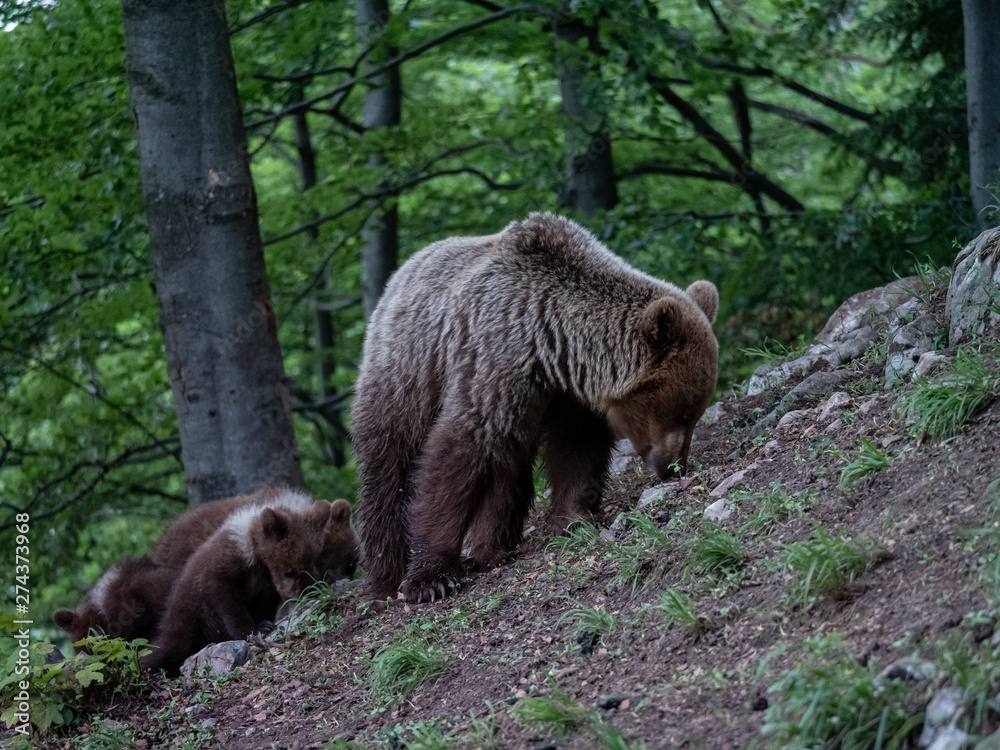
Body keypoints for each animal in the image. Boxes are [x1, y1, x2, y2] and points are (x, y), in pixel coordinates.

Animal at [141, 502, 336, 680]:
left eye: (310, 564)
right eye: (290, 570)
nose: (304, 592)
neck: (257, 558)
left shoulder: (265, 585)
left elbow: (263, 603)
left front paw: (265, 623)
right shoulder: (224, 568)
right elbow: (228, 601)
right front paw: (256, 629)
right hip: (188, 617)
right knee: (168, 648)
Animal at [352, 212, 720, 604]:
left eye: (695, 414)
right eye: (683, 413)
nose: (676, 466)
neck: (552, 341)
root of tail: (400, 274)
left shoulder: (566, 391)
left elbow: (575, 448)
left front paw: (575, 517)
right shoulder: (494, 357)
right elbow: (457, 453)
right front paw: (430, 577)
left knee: (509, 463)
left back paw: (495, 549)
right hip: (407, 371)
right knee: (391, 464)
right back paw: (386, 576)